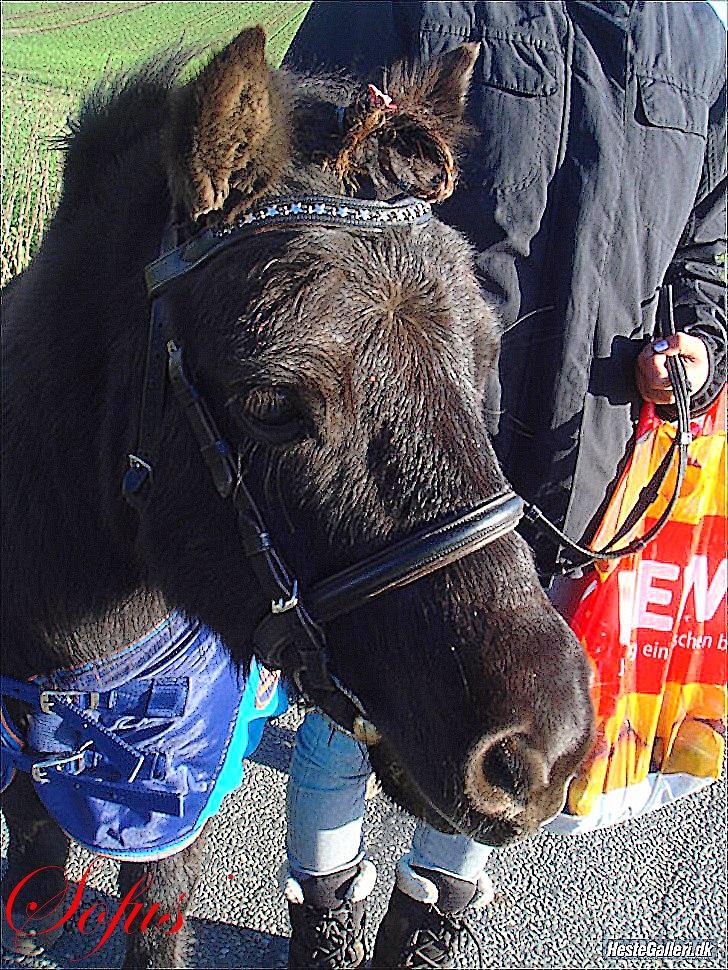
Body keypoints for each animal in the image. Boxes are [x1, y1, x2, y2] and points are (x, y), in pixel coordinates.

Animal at [0, 26, 596, 964]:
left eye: (487, 353)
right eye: (273, 401)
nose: (548, 748)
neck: (66, 665)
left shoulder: (167, 804)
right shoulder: (23, 774)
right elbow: (34, 869)